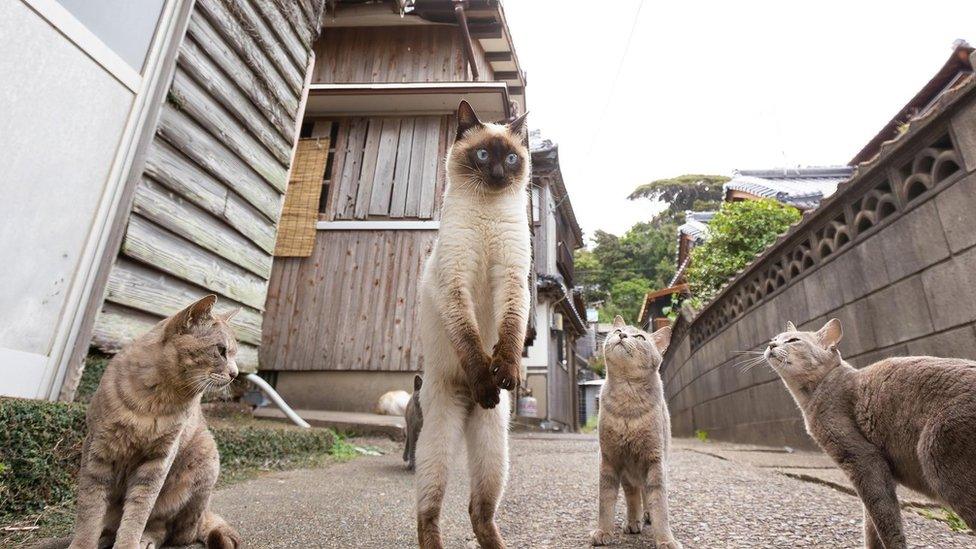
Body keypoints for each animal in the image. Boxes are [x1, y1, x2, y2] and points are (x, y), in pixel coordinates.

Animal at [416, 101, 528, 548]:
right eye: (483, 155)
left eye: (511, 158)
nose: (497, 174)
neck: (487, 216)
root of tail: (467, 409)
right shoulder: (455, 284)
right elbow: (470, 339)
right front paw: (486, 378)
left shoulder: (511, 279)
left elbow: (509, 333)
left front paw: (505, 372)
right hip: (437, 441)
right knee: (428, 512)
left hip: (494, 449)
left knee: (479, 510)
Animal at [768, 318, 972, 544]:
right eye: (774, 338)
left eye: (793, 340)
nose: (770, 345)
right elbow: (870, 522)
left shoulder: (863, 459)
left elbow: (884, 517)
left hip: (939, 459)